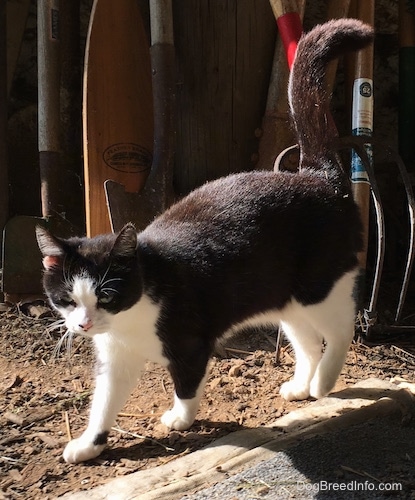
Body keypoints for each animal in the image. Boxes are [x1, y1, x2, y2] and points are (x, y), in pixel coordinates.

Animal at [35, 19, 374, 464]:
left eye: (106, 295)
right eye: (67, 299)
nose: (84, 324)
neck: (133, 314)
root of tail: (318, 176)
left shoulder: (191, 343)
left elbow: (187, 383)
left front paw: (180, 419)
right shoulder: (115, 356)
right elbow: (104, 402)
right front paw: (89, 443)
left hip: (319, 286)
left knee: (340, 328)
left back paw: (324, 383)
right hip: (285, 298)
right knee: (307, 343)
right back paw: (303, 385)